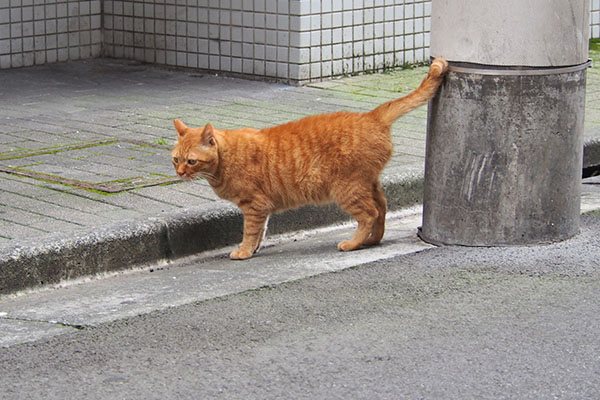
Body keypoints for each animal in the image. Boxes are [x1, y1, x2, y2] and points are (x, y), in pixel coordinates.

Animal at [171, 58, 448, 260]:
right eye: (175, 159)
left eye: (191, 161)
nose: (180, 173)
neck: (224, 161)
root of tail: (371, 116)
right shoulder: (262, 207)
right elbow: (261, 231)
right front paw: (256, 248)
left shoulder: (254, 205)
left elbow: (250, 231)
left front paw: (245, 251)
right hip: (368, 183)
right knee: (381, 207)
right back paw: (372, 239)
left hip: (347, 189)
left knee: (369, 213)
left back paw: (352, 243)